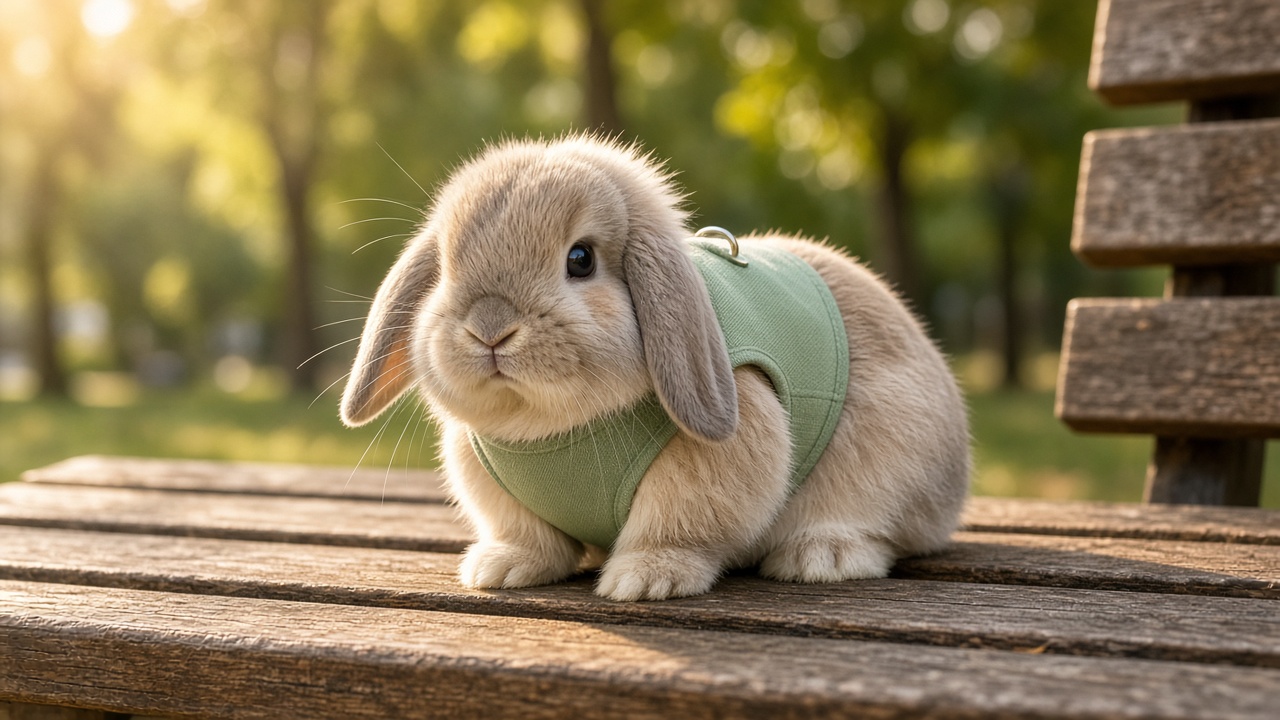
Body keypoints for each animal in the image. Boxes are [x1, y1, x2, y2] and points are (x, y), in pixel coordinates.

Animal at [340, 135, 970, 601]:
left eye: (580, 259)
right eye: (445, 266)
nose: (489, 327)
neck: (548, 429)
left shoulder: (713, 464)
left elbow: (675, 528)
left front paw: (644, 580)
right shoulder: (499, 494)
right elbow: (529, 539)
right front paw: (498, 569)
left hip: (887, 451)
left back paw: (820, 557)